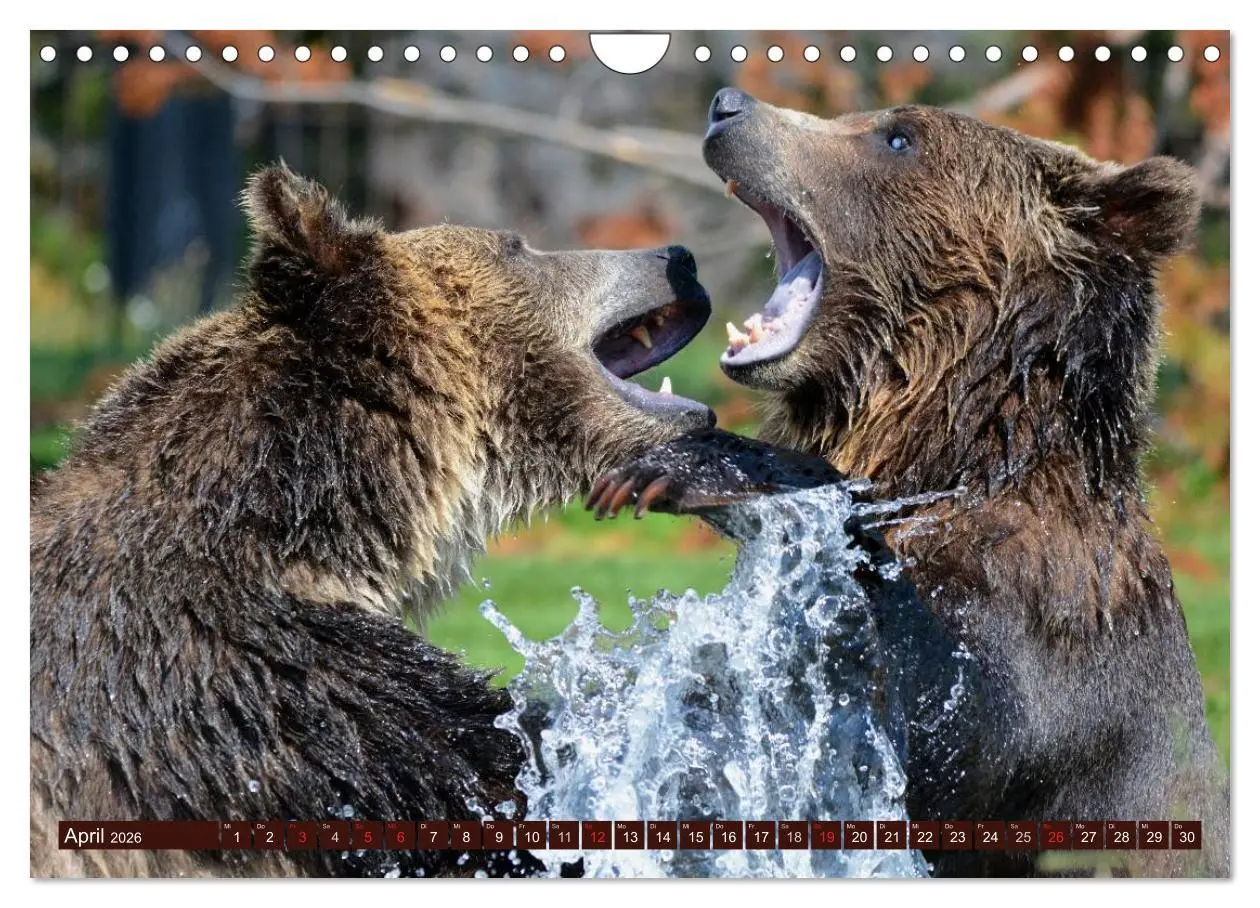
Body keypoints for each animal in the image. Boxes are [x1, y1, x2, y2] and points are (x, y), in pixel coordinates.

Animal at [589, 89, 1228, 877]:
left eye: (898, 138)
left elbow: (943, 718)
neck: (955, 452)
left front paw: (682, 468)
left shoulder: (1050, 629)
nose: (729, 106)